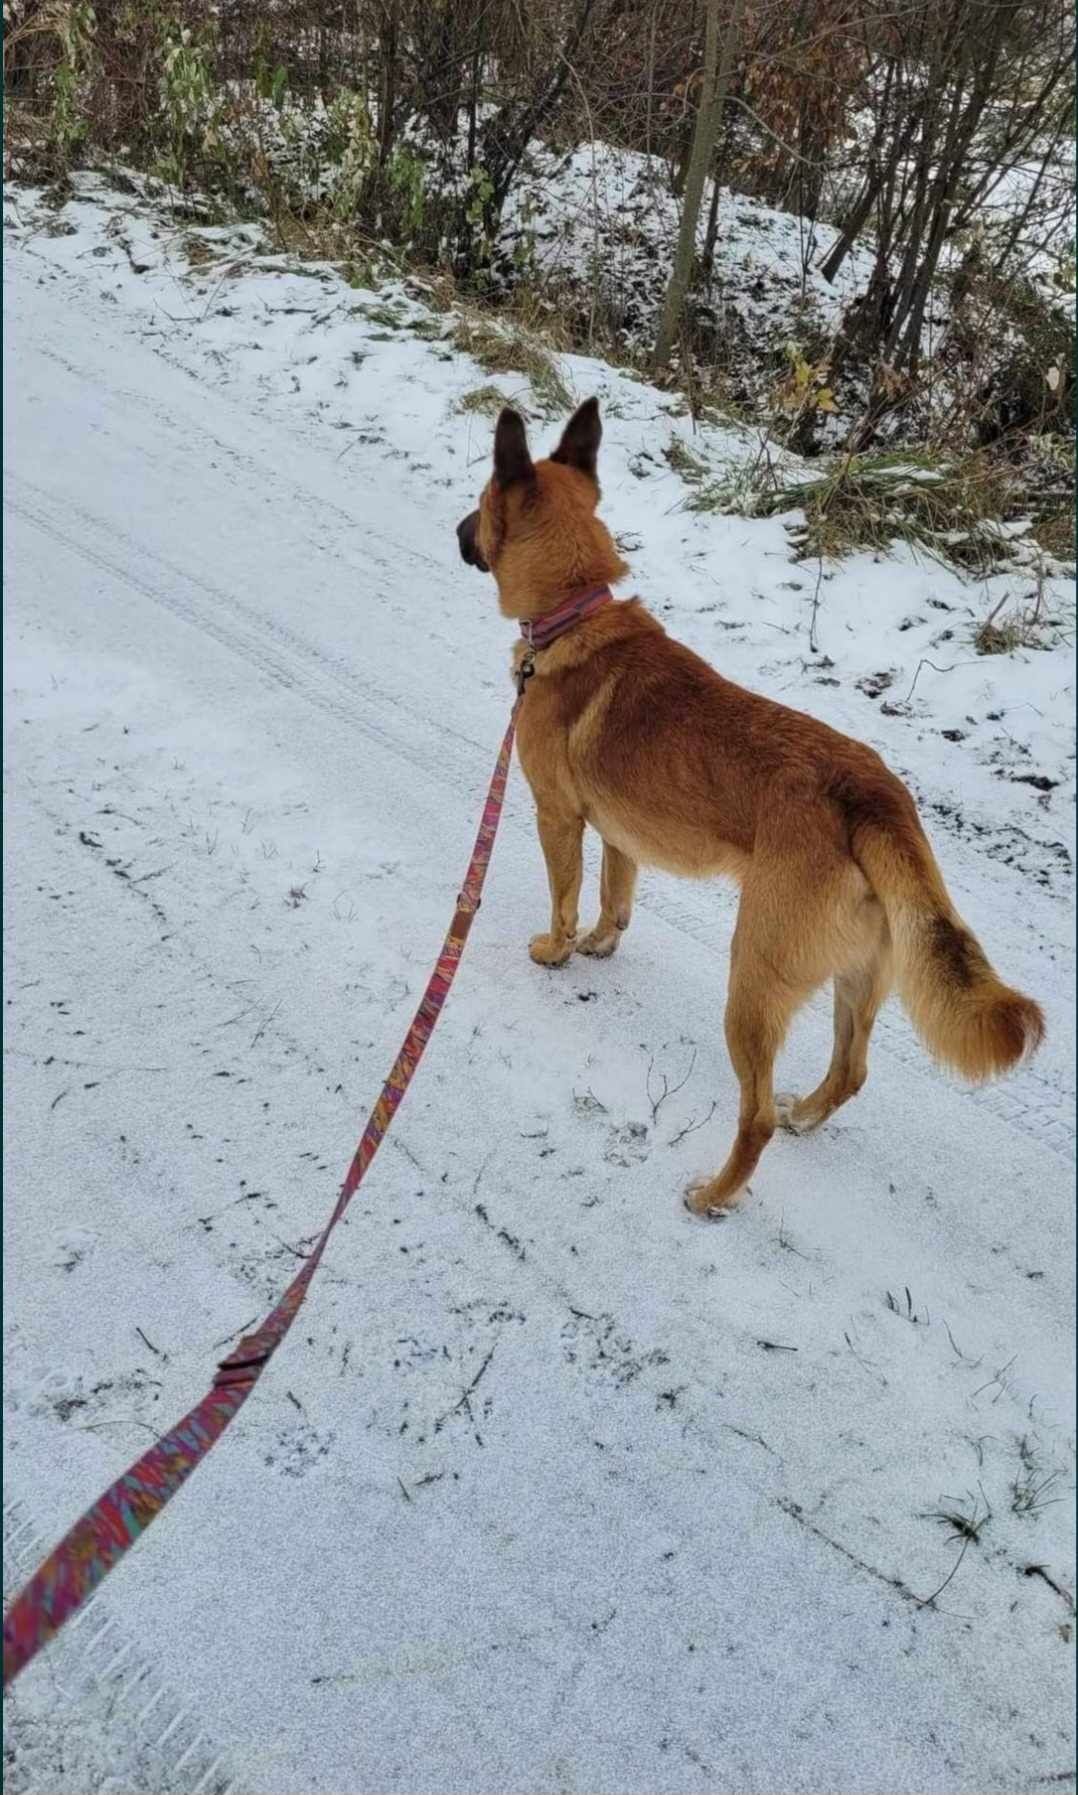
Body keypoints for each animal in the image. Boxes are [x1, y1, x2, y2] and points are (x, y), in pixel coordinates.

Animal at [453, 400, 1040, 1213]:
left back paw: (715, 1195)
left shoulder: (558, 819)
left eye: (480, 505)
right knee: (849, 1072)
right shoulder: (621, 837)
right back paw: (806, 1115)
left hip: (752, 981)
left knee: (755, 1114)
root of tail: (874, 800)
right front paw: (600, 944)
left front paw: (558, 951)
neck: (576, 613)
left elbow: (567, 899)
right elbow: (615, 901)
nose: (456, 532)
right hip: (857, 978)